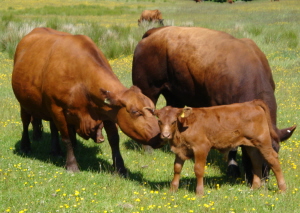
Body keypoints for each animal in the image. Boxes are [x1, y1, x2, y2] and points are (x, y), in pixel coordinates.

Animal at [11, 27, 162, 176]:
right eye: (135, 112)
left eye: (153, 110)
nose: (160, 137)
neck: (82, 82)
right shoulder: (57, 108)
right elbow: (66, 138)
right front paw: (72, 165)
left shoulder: (107, 111)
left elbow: (114, 139)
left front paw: (120, 168)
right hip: (25, 103)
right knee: (25, 122)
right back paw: (25, 146)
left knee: (53, 127)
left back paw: (56, 150)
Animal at [132, 26, 296, 183]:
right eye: (252, 151)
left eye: (276, 150)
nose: (262, 179)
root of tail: (155, 31)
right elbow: (232, 145)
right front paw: (233, 168)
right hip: (147, 89)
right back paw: (148, 148)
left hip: (175, 95)